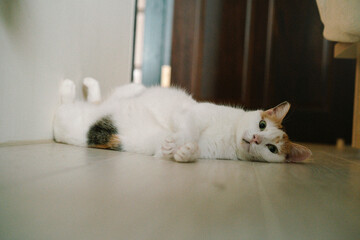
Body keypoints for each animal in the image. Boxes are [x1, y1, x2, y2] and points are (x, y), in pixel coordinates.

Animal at [53, 78, 312, 163]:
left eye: (271, 148)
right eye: (262, 124)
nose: (257, 138)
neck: (228, 136)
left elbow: (181, 150)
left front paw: (183, 152)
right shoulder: (190, 114)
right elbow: (187, 129)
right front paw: (177, 141)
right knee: (63, 106)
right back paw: (70, 86)